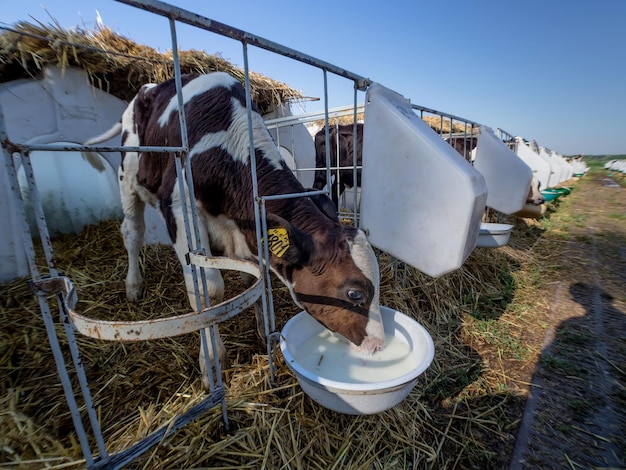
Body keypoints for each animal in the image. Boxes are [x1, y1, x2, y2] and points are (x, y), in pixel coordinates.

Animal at [85, 71, 382, 384]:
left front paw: (264, 335)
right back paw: (133, 286)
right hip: (128, 175)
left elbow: (256, 280)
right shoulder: (179, 207)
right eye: (354, 294)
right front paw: (212, 362)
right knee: (133, 232)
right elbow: (208, 292)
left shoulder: (249, 229)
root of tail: (147, 89)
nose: (378, 344)